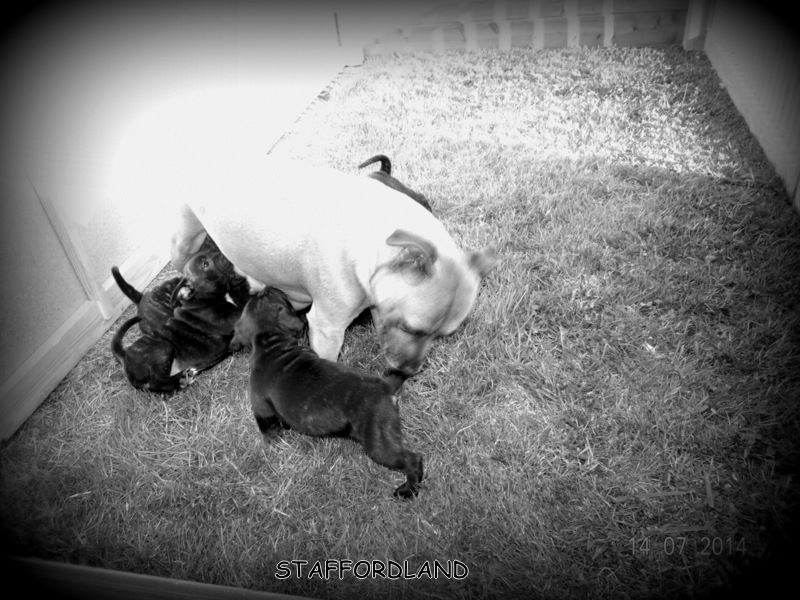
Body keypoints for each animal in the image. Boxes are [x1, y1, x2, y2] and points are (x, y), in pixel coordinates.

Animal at [111, 239, 246, 393]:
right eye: (205, 265)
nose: (223, 252)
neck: (203, 299)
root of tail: (125, 355)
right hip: (163, 346)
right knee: (157, 382)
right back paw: (181, 379)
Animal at [230, 287, 423, 499]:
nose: (266, 287)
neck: (271, 344)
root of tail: (386, 385)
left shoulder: (261, 410)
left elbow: (268, 432)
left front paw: (271, 446)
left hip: (379, 444)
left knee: (414, 460)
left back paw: (408, 491)